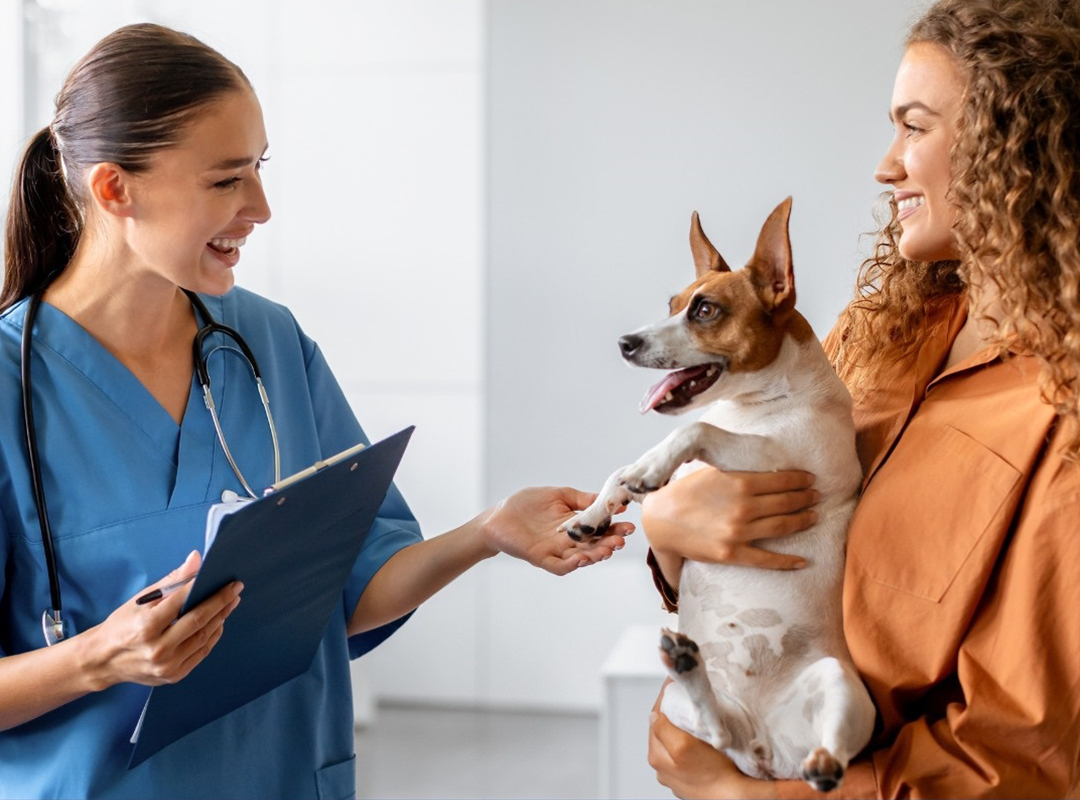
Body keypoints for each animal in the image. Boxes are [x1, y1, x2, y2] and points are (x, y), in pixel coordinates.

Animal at [565, 198, 876, 785]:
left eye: (705, 310)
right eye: (671, 304)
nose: (625, 343)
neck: (754, 408)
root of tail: (762, 747)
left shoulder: (785, 463)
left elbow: (695, 430)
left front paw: (652, 464)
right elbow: (621, 472)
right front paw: (593, 514)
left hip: (839, 684)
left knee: (822, 748)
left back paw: (824, 763)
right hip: (677, 706)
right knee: (715, 729)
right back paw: (692, 670)